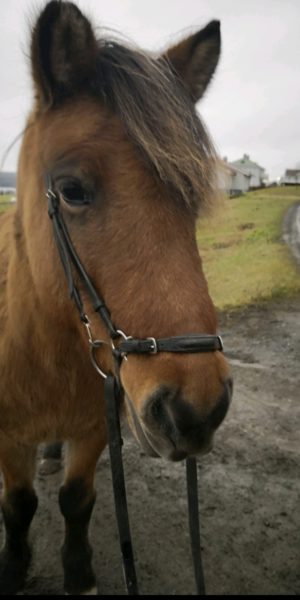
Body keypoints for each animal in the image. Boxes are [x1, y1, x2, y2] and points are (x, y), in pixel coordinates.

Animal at [0, 1, 232, 596]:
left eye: (191, 195)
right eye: (72, 191)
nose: (196, 409)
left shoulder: (92, 430)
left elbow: (76, 500)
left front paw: (78, 572)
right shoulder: (10, 438)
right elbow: (19, 505)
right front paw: (14, 567)